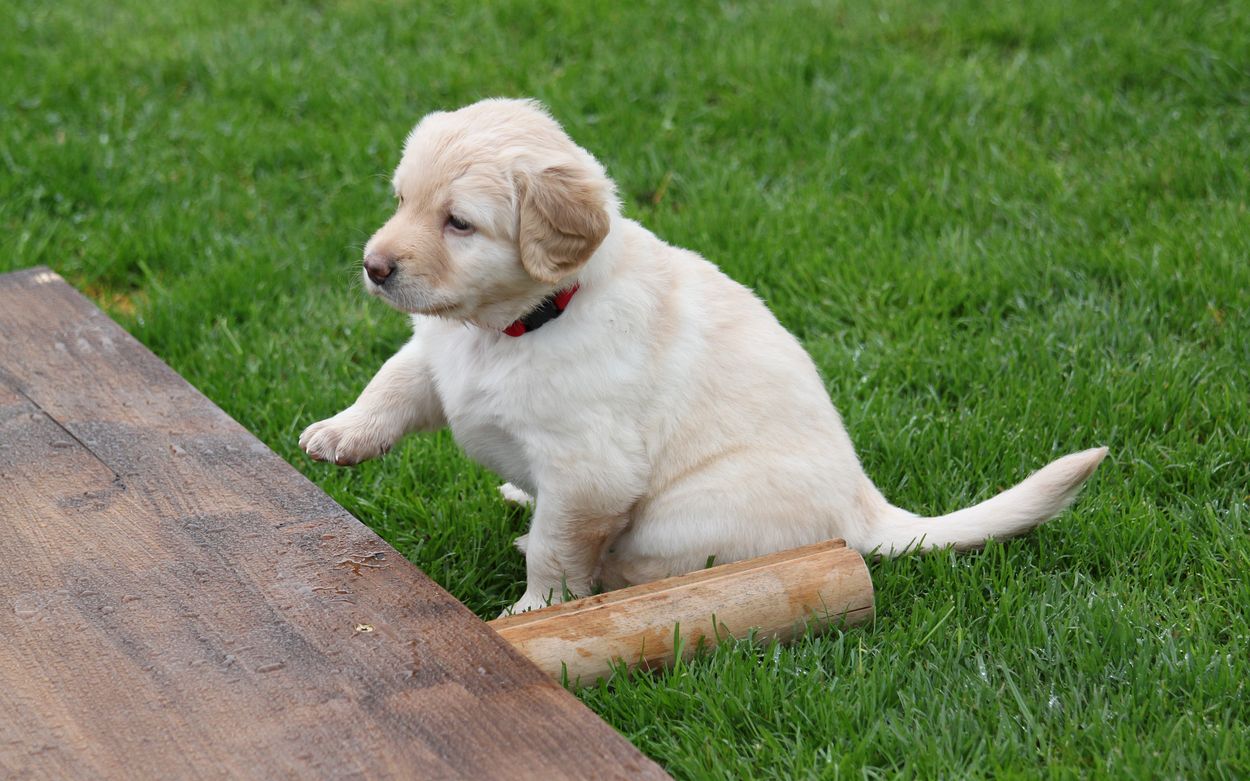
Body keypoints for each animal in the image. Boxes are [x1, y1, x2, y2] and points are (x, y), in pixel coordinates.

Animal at [300, 98, 1107, 615]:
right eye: (401, 200)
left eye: (459, 223)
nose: (374, 267)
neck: (510, 326)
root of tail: (867, 508)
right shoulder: (436, 356)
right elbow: (393, 383)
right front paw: (339, 435)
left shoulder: (589, 468)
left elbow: (559, 551)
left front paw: (539, 609)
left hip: (686, 513)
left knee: (642, 559)